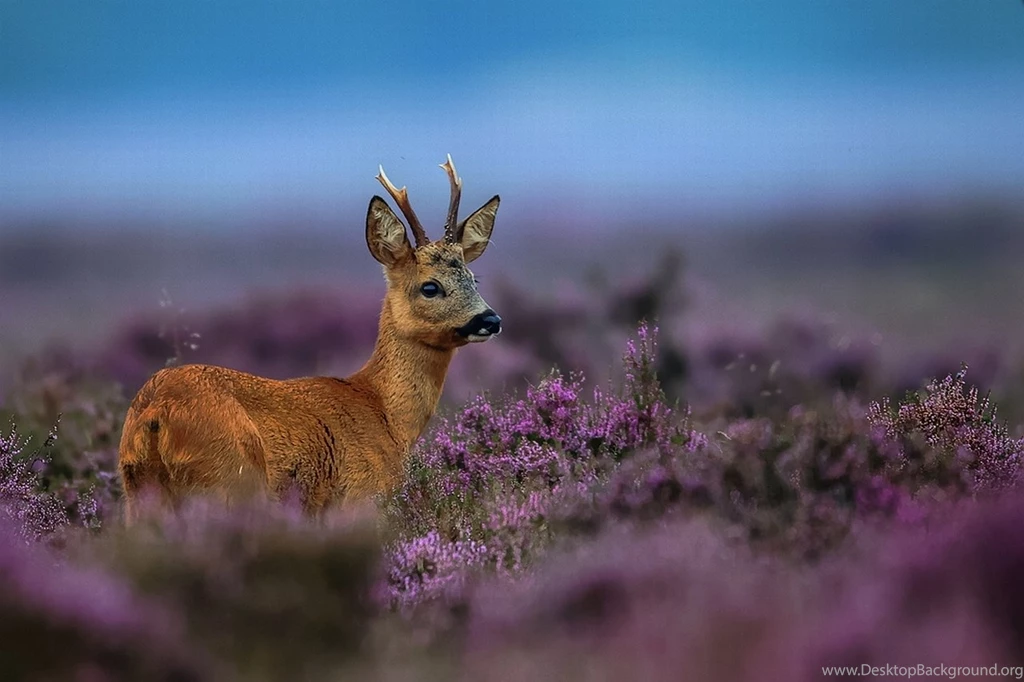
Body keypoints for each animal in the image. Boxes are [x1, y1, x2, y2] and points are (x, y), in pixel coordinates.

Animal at [117, 155, 502, 522]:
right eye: (430, 287)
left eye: (474, 279)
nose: (490, 319)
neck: (385, 413)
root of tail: (156, 412)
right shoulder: (362, 493)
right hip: (228, 479)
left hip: (139, 488)